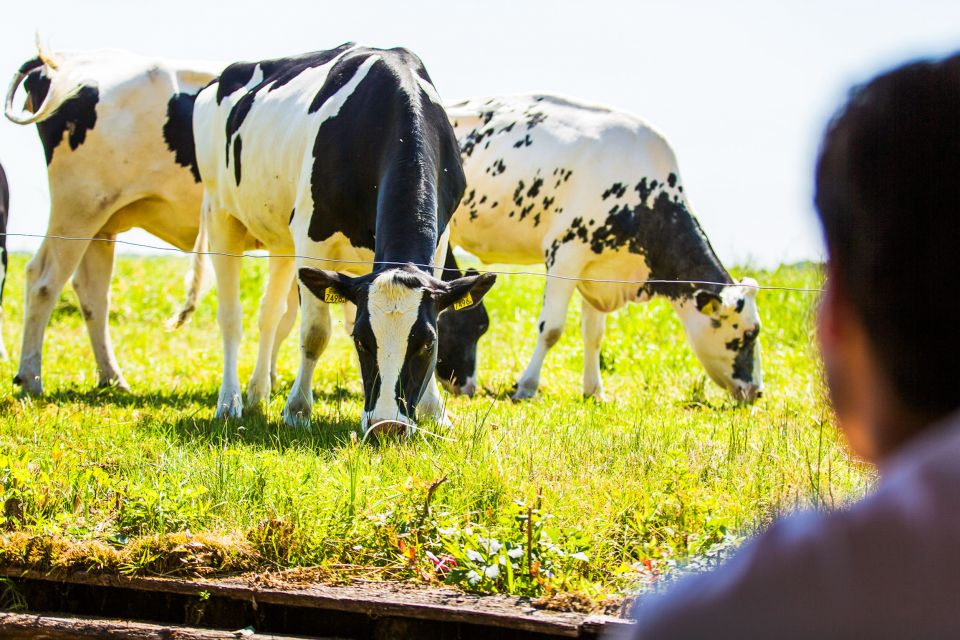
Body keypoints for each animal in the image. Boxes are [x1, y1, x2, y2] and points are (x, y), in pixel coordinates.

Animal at [1, 48, 300, 396]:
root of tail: (58, 62)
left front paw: (273, 380)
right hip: (77, 207)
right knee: (43, 280)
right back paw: (31, 376)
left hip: (101, 219)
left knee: (92, 293)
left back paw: (112, 378)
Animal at [180, 45, 496, 436]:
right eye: (362, 340)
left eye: (427, 342)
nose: (386, 426)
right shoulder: (312, 237)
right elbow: (315, 332)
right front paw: (298, 410)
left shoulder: (438, 243)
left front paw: (435, 412)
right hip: (221, 214)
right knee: (231, 317)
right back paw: (230, 401)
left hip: (281, 240)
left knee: (270, 314)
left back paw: (257, 393)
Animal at [442, 94, 764, 404]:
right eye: (747, 334)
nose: (757, 391)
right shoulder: (565, 254)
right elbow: (551, 329)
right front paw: (527, 386)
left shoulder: (599, 269)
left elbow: (594, 335)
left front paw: (594, 391)